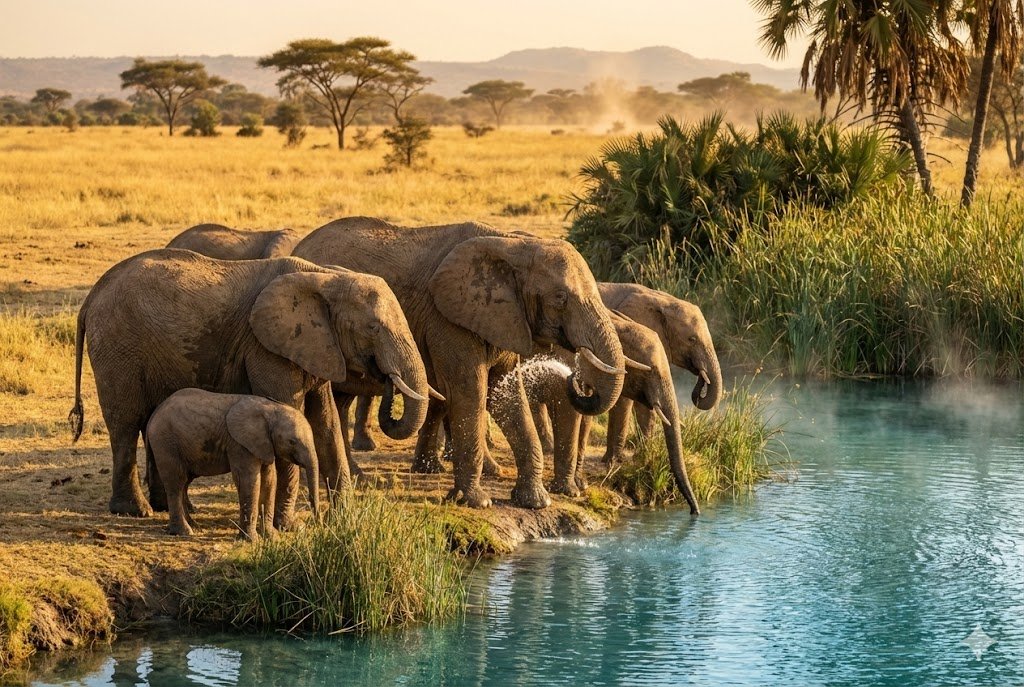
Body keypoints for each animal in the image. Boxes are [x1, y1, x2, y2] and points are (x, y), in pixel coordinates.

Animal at [145, 389, 320, 539]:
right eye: (292, 442)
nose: (318, 523)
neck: (271, 409)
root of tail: (153, 415)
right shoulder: (239, 444)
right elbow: (249, 480)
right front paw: (251, 540)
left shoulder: (264, 445)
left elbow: (269, 481)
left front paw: (271, 538)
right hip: (166, 443)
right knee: (176, 482)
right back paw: (185, 532)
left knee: (184, 483)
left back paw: (194, 526)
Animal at [292, 217, 626, 509]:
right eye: (560, 297)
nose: (576, 380)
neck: (512, 245)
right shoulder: (448, 320)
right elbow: (470, 392)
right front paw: (476, 502)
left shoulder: (503, 318)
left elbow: (506, 395)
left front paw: (535, 502)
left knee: (340, 401)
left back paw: (358, 478)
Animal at [593, 282, 722, 465]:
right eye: (692, 339)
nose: (700, 384)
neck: (663, 300)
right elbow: (624, 399)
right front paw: (614, 461)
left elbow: (645, 403)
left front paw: (642, 457)